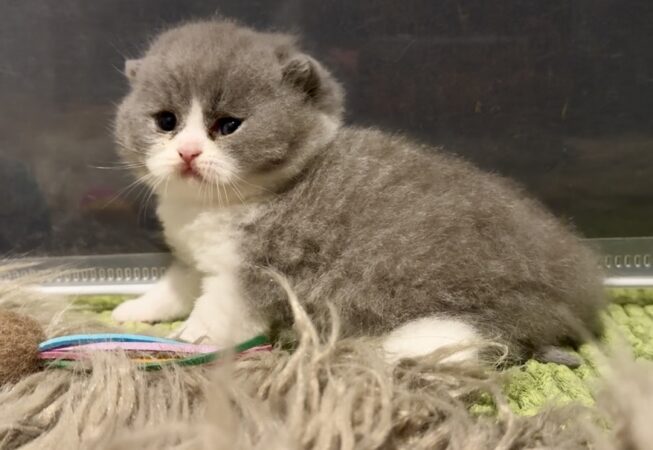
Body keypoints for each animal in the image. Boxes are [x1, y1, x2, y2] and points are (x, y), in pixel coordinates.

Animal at [112, 19, 605, 365]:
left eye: (228, 125)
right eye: (166, 121)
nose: (188, 153)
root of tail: (578, 291)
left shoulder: (249, 275)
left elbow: (212, 314)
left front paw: (185, 340)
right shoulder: (196, 258)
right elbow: (175, 286)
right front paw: (134, 310)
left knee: (484, 340)